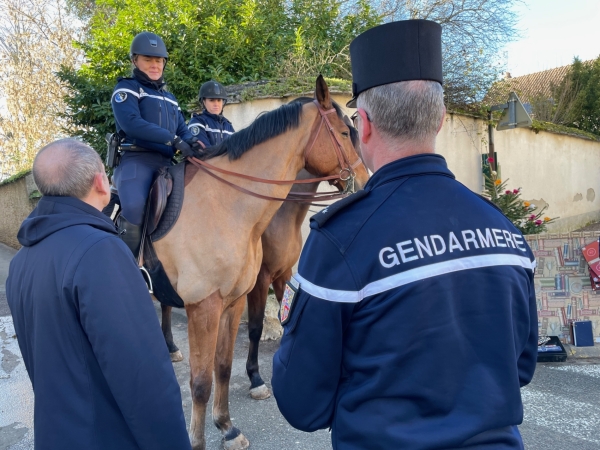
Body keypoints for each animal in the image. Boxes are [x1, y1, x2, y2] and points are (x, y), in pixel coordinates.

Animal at [152, 75, 368, 448]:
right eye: (344, 133)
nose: (365, 180)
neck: (229, 207)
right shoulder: (210, 304)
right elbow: (203, 378)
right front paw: (252, 383)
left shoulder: (256, 288)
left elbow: (224, 366)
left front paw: (227, 426)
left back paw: (169, 347)